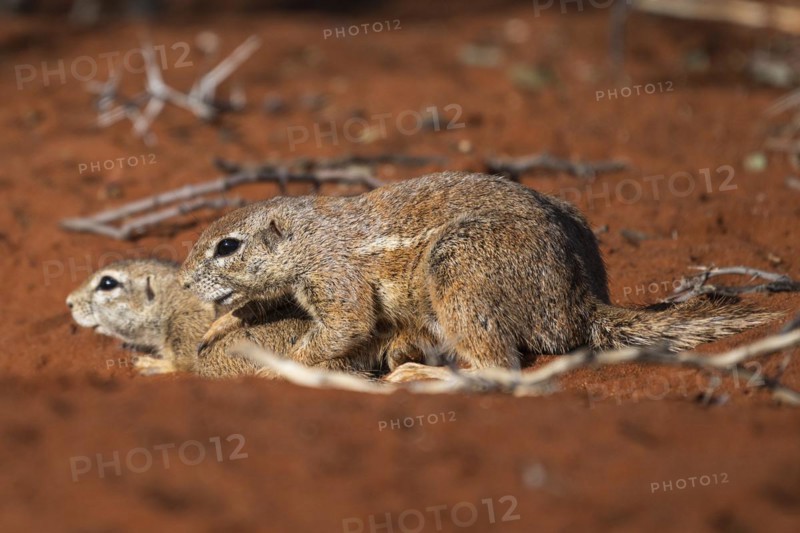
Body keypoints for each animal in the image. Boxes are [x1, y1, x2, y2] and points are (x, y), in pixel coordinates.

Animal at [180, 171, 777, 372]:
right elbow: (258, 303)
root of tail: (577, 302)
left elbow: (345, 325)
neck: (307, 234)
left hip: (461, 270)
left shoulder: (334, 277)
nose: (185, 282)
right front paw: (218, 326)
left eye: (227, 246)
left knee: (499, 366)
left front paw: (278, 369)